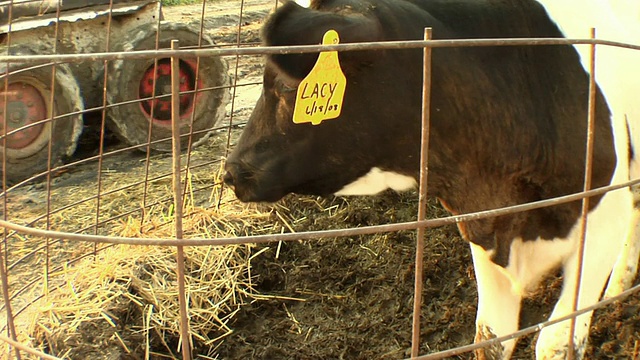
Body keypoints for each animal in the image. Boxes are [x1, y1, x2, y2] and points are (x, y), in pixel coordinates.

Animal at [221, 1, 640, 358]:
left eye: (285, 84)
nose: (231, 172)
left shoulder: (602, 226)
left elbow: (556, 343)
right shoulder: (482, 228)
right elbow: (491, 338)